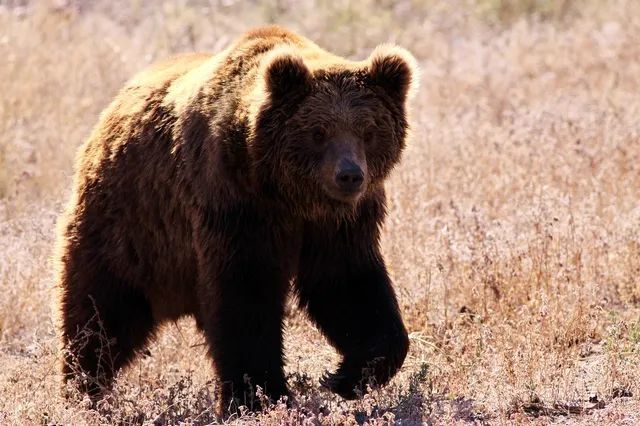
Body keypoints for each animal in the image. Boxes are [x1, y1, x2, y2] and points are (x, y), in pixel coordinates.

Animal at [53, 25, 416, 416]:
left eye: (369, 130)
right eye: (318, 132)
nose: (349, 175)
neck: (290, 196)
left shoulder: (340, 225)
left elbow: (350, 287)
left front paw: (346, 376)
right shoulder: (235, 205)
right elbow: (245, 298)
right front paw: (260, 395)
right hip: (129, 230)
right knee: (98, 315)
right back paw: (82, 390)